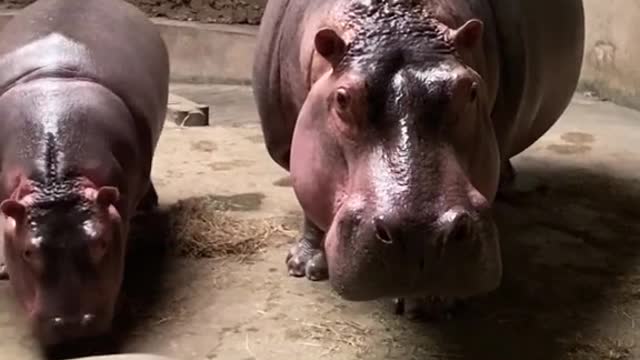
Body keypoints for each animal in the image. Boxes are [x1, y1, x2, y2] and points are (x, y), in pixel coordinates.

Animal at [251, 0, 584, 316]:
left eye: (471, 90)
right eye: (342, 98)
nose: (422, 235)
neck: (396, 21)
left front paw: (428, 303)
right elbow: (309, 202)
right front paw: (304, 267)